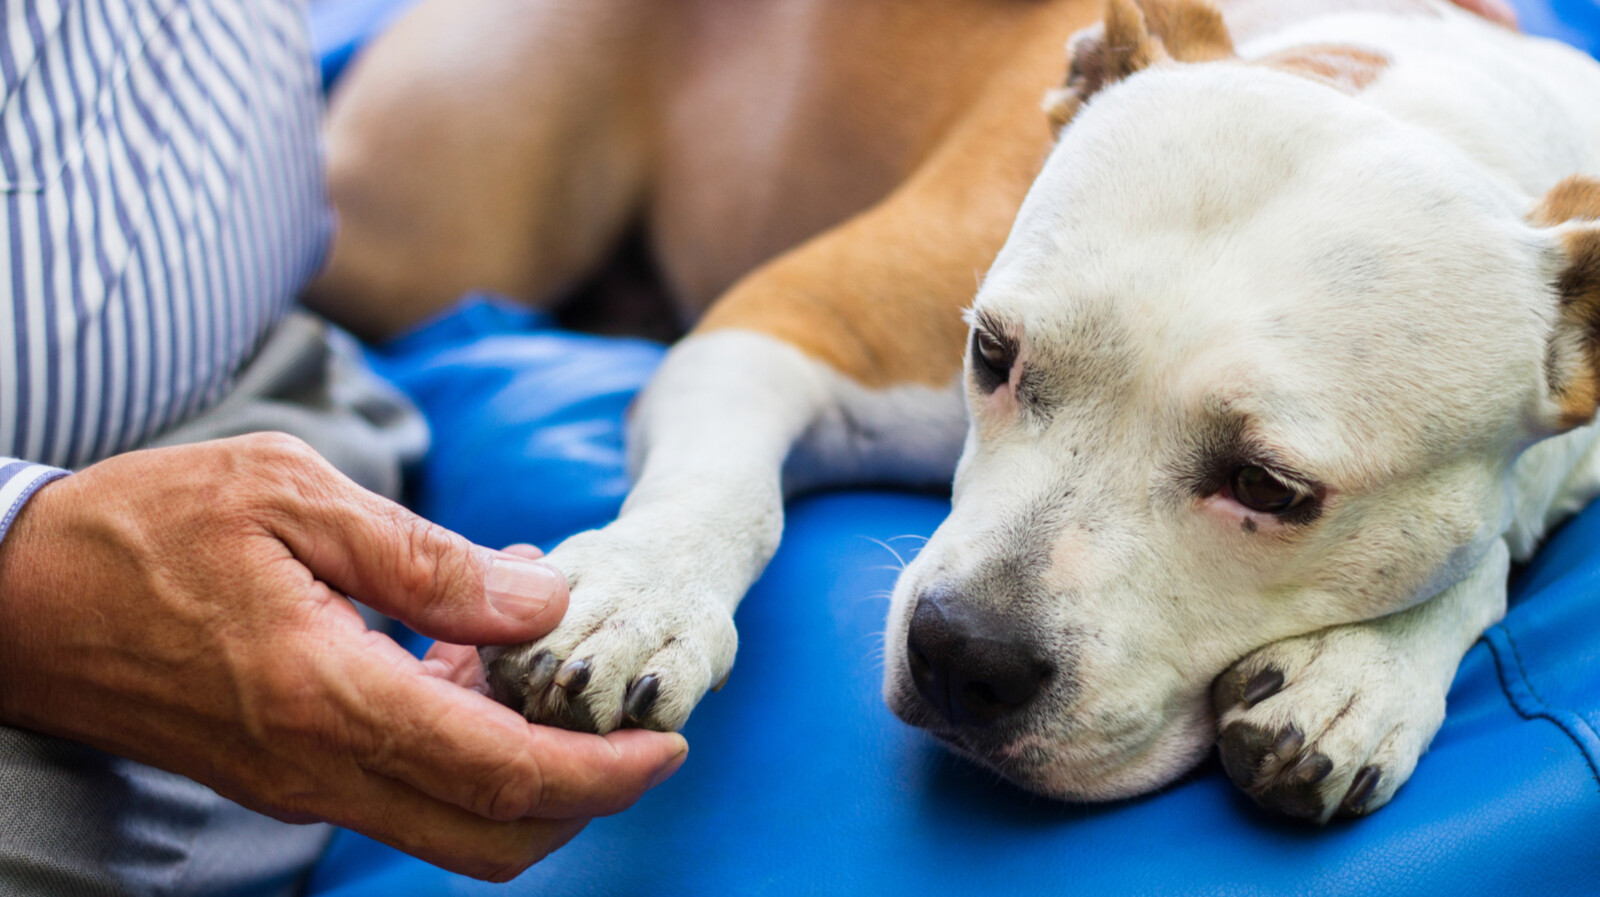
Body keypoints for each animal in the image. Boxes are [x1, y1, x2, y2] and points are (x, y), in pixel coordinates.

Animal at [315, 0, 1600, 825]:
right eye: (990, 351)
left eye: (1269, 489)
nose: (961, 656)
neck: (1420, 102)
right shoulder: (787, 318)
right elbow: (723, 489)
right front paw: (637, 598)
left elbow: (1490, 548)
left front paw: (1362, 676)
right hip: (435, 234)